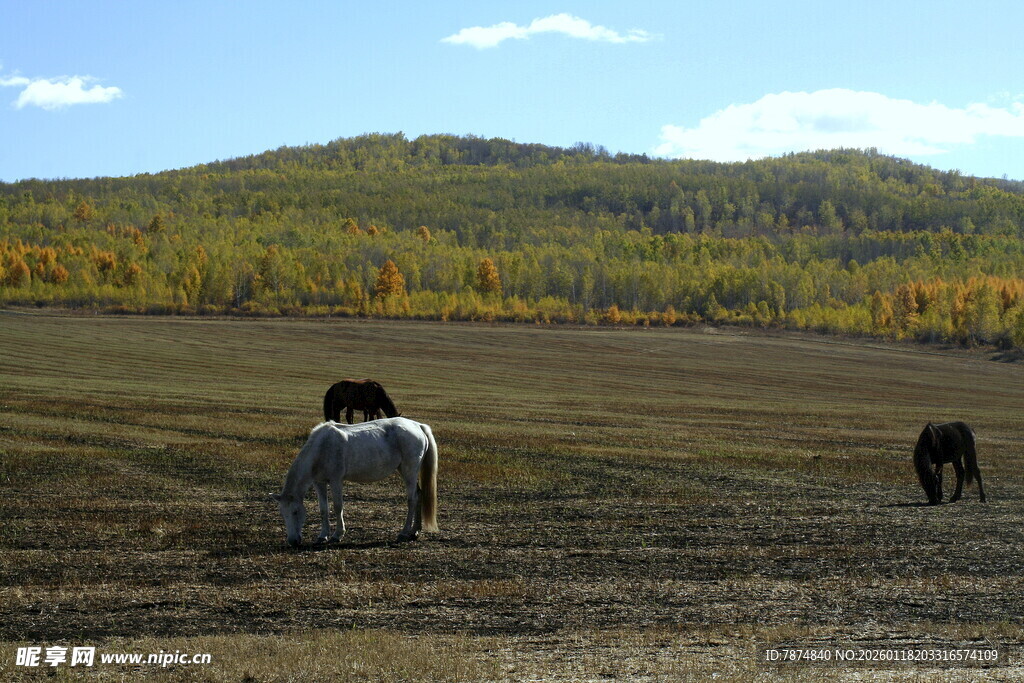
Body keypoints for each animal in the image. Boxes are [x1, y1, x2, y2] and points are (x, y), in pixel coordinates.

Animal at [269, 417, 438, 546]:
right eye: (282, 513)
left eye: (295, 511)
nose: (293, 541)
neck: (322, 448)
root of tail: (418, 426)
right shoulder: (319, 483)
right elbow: (323, 509)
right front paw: (322, 536)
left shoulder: (336, 481)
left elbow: (338, 507)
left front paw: (337, 535)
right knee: (419, 495)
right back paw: (415, 532)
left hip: (409, 471)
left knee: (412, 499)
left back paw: (404, 533)